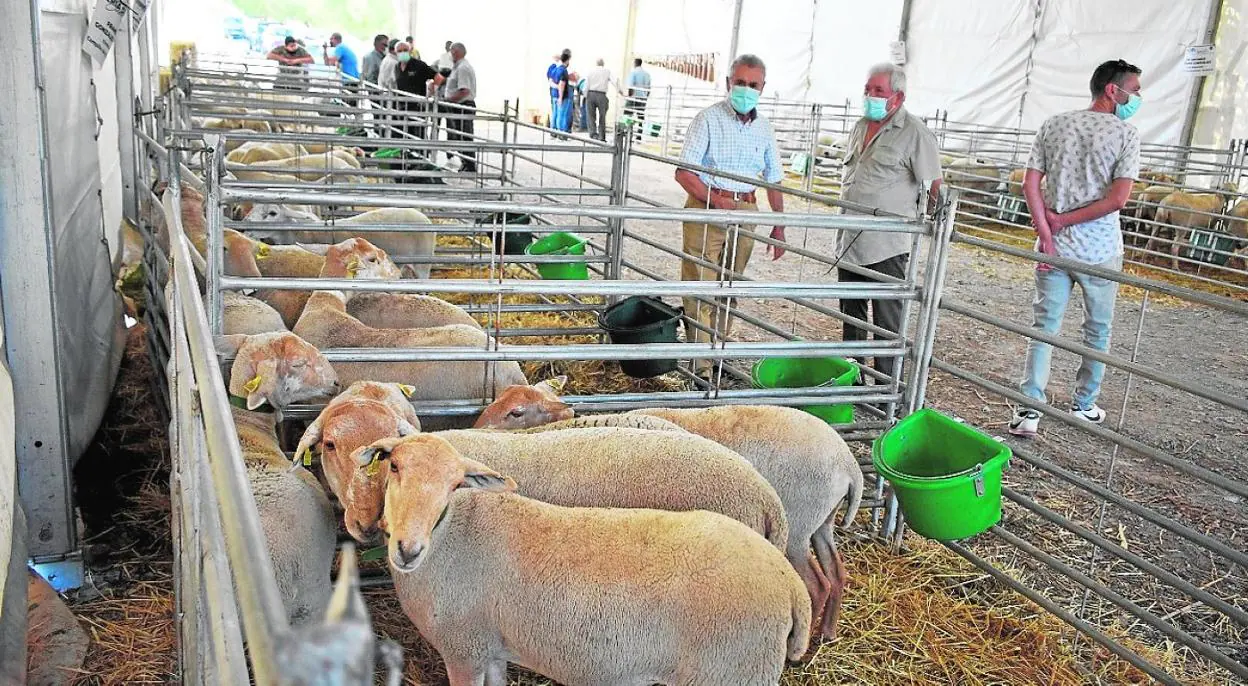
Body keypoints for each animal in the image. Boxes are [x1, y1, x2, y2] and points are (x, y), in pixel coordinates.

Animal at [374, 436, 813, 686]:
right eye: (393, 466)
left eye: (453, 485)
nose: (408, 549)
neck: (452, 534)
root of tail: (790, 582)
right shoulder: (491, 646)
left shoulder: (463, 649)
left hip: (731, 670)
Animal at [471, 381, 863, 643]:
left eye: (515, 412)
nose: (473, 430)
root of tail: (849, 464)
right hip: (821, 524)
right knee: (836, 573)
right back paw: (827, 633)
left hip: (797, 529)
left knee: (816, 584)